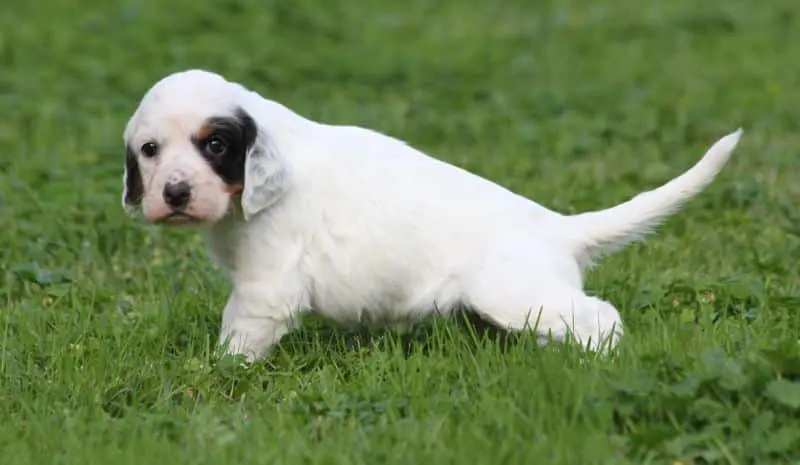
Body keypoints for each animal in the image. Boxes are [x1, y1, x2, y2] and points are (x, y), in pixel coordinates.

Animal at [121, 69, 743, 361]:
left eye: (215, 145)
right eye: (149, 150)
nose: (174, 193)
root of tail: (557, 227)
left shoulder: (266, 286)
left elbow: (238, 337)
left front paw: (219, 372)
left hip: (518, 294)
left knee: (600, 317)